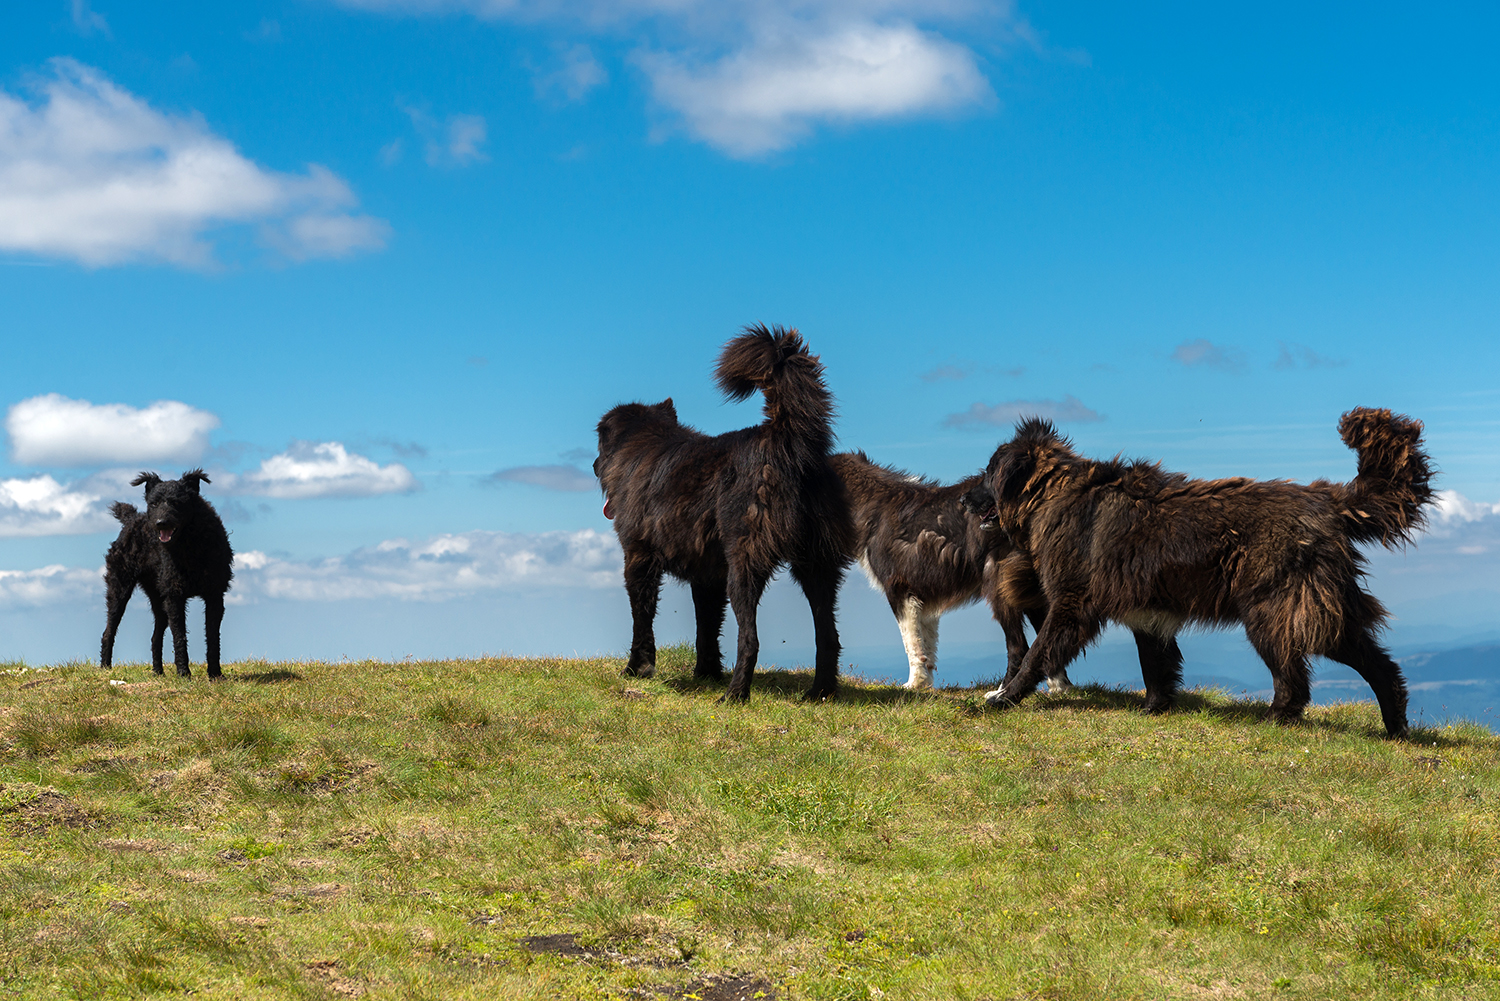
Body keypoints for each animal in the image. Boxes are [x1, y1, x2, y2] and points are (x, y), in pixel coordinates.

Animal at [99, 471, 234, 681]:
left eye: (177, 502)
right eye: (153, 503)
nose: (160, 523)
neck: (190, 544)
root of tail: (131, 519)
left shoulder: (214, 595)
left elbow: (213, 637)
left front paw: (215, 674)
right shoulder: (174, 597)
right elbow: (179, 637)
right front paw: (184, 673)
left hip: (158, 600)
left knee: (155, 637)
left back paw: (158, 672)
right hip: (119, 590)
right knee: (108, 631)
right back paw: (105, 667)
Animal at [597, 325, 858, 702]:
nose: (592, 465)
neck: (644, 445)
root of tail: (784, 439)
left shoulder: (639, 559)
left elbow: (642, 621)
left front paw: (637, 669)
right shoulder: (707, 576)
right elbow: (706, 628)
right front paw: (706, 673)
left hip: (745, 566)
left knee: (750, 640)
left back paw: (735, 695)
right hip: (817, 568)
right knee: (828, 638)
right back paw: (819, 693)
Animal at [834, 453, 1080, 696]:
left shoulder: (898, 591)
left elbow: (911, 644)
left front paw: (913, 684)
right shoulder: (923, 597)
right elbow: (927, 645)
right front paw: (925, 683)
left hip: (999, 584)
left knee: (1019, 645)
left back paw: (1001, 692)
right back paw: (1059, 687)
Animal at [966, 402, 1434, 741]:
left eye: (988, 472)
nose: (965, 499)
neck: (1051, 492)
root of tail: (1328, 499)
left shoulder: (1069, 604)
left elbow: (1037, 654)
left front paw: (1004, 697)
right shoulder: (1147, 611)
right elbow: (1155, 666)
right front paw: (1155, 709)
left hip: (1272, 612)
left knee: (1295, 680)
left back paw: (1275, 718)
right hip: (1324, 611)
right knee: (1379, 665)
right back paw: (1396, 728)